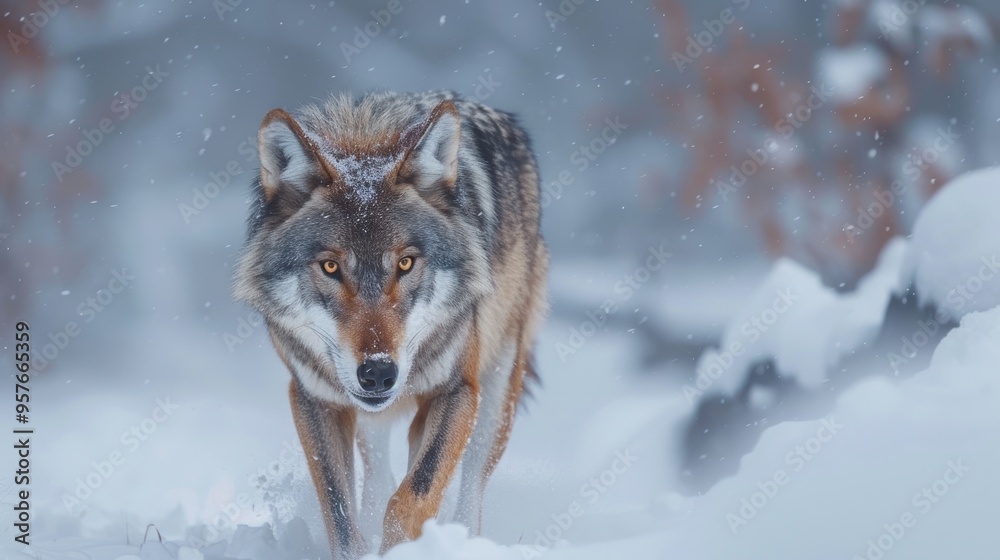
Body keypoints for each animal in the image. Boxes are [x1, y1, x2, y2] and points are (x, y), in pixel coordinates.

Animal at [234, 90, 548, 558]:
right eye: (330, 267)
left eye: (405, 263)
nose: (379, 373)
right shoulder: (314, 398)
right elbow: (341, 512)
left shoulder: (458, 390)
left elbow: (413, 496)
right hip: (370, 415)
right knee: (379, 475)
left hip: (495, 396)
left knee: (470, 487)